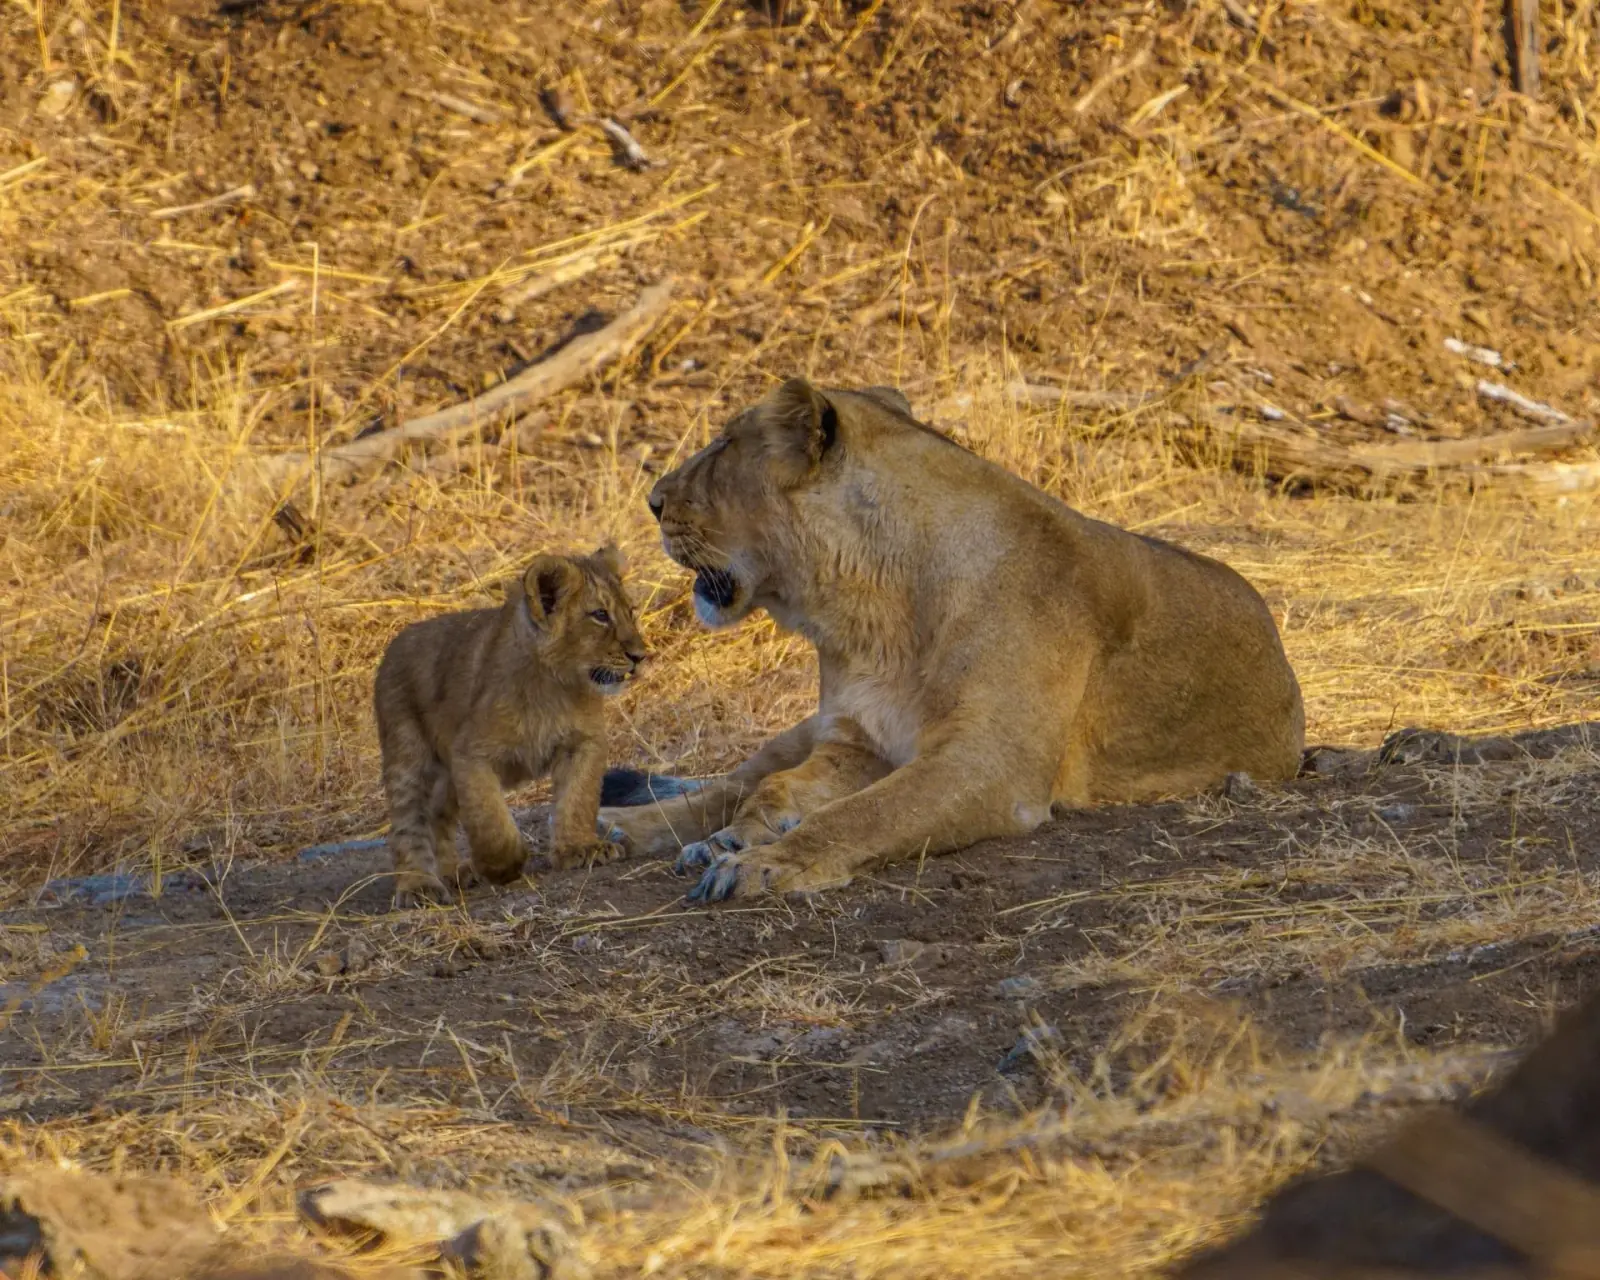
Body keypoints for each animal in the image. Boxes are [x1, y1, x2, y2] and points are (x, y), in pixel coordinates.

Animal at [375, 544, 646, 908]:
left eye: (631, 612)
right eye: (600, 615)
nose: (640, 656)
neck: (554, 685)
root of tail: (396, 641)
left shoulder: (583, 743)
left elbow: (579, 797)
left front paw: (581, 848)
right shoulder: (470, 754)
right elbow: (490, 820)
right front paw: (502, 866)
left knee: (437, 816)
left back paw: (453, 872)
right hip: (407, 752)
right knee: (408, 822)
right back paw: (419, 885)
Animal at [598, 379, 1304, 901]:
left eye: (723, 445)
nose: (653, 501)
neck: (868, 614)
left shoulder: (988, 762)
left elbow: (863, 815)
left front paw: (763, 862)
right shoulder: (856, 739)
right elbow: (775, 790)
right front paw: (744, 841)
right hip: (799, 729)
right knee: (729, 782)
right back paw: (616, 827)